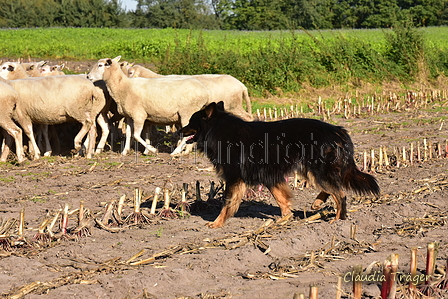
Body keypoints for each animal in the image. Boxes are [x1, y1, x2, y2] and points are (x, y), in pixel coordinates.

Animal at [180, 102, 380, 229]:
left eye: (190, 122)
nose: (179, 131)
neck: (219, 130)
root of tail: (338, 130)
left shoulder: (235, 178)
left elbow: (227, 204)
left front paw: (217, 223)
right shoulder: (269, 176)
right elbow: (281, 199)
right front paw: (285, 219)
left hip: (317, 169)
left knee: (340, 194)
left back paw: (338, 220)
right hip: (309, 169)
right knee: (331, 189)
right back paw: (317, 203)